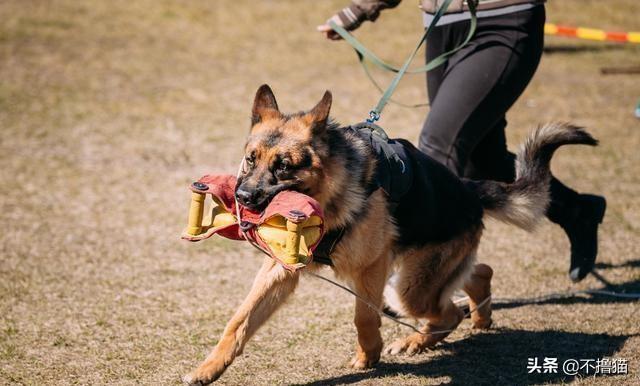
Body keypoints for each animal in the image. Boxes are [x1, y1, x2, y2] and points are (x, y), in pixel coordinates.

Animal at [182, 86, 596, 384]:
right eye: (250, 159)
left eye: (283, 166)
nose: (243, 197)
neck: (331, 193)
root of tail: (467, 189)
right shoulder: (279, 270)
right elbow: (239, 322)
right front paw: (208, 369)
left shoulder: (371, 267)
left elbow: (364, 317)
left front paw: (369, 356)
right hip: (419, 274)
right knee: (478, 274)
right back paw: (479, 317)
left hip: (405, 288)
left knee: (449, 311)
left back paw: (417, 339)